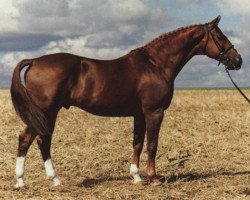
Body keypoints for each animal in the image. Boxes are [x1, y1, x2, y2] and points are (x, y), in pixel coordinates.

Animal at [11, 16, 242, 188]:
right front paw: (154, 178)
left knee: (34, 140)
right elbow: (152, 144)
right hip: (46, 111)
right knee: (33, 139)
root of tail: (34, 61)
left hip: (45, 113)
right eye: (220, 36)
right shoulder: (154, 112)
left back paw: (37, 181)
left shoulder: (139, 114)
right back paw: (39, 180)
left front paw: (137, 176)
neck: (155, 64)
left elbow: (137, 143)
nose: (237, 60)